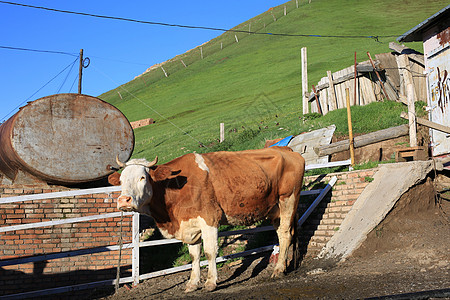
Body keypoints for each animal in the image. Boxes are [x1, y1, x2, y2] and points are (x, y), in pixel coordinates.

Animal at [110, 146, 304, 292]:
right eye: (121, 180)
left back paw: (278, 270)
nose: (124, 200)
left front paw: (211, 282)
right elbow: (194, 256)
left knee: (285, 235)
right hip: (275, 209)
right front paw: (192, 283)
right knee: (282, 234)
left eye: (143, 177)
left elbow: (210, 252)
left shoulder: (209, 219)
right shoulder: (190, 225)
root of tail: (285, 149)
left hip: (288, 200)